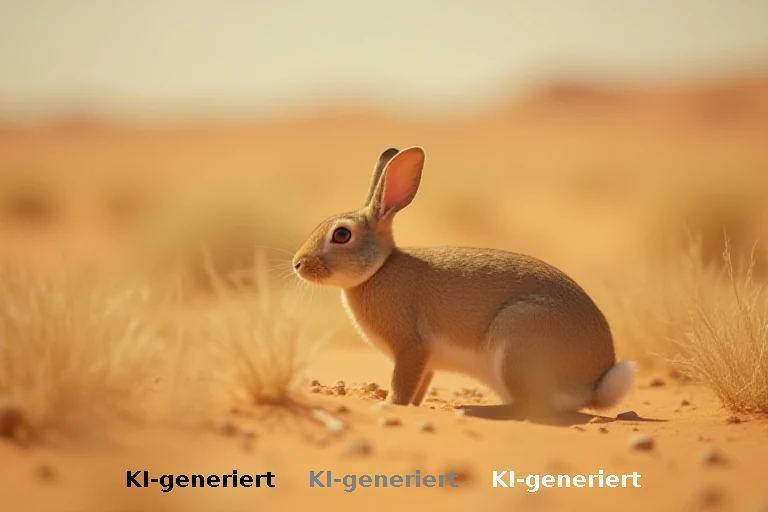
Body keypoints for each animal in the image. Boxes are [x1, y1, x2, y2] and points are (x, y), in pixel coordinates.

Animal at [292, 146, 635, 413]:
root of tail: (591, 384)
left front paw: (389, 405)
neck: (379, 269)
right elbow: (419, 388)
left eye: (341, 235)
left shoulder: (410, 348)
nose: (298, 264)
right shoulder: (426, 363)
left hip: (516, 339)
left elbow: (403, 385)